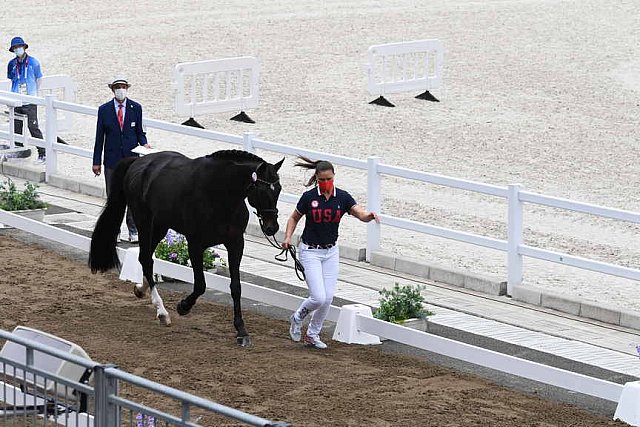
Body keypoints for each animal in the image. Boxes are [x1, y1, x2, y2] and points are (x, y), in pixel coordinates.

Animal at [89, 150, 282, 348]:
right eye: (262, 190)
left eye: (279, 189)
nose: (272, 228)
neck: (220, 194)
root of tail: (139, 161)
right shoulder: (195, 244)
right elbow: (200, 285)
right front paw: (183, 306)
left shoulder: (236, 244)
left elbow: (236, 287)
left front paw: (241, 331)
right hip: (144, 222)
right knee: (146, 259)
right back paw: (162, 312)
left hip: (160, 225)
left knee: (145, 258)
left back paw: (141, 289)